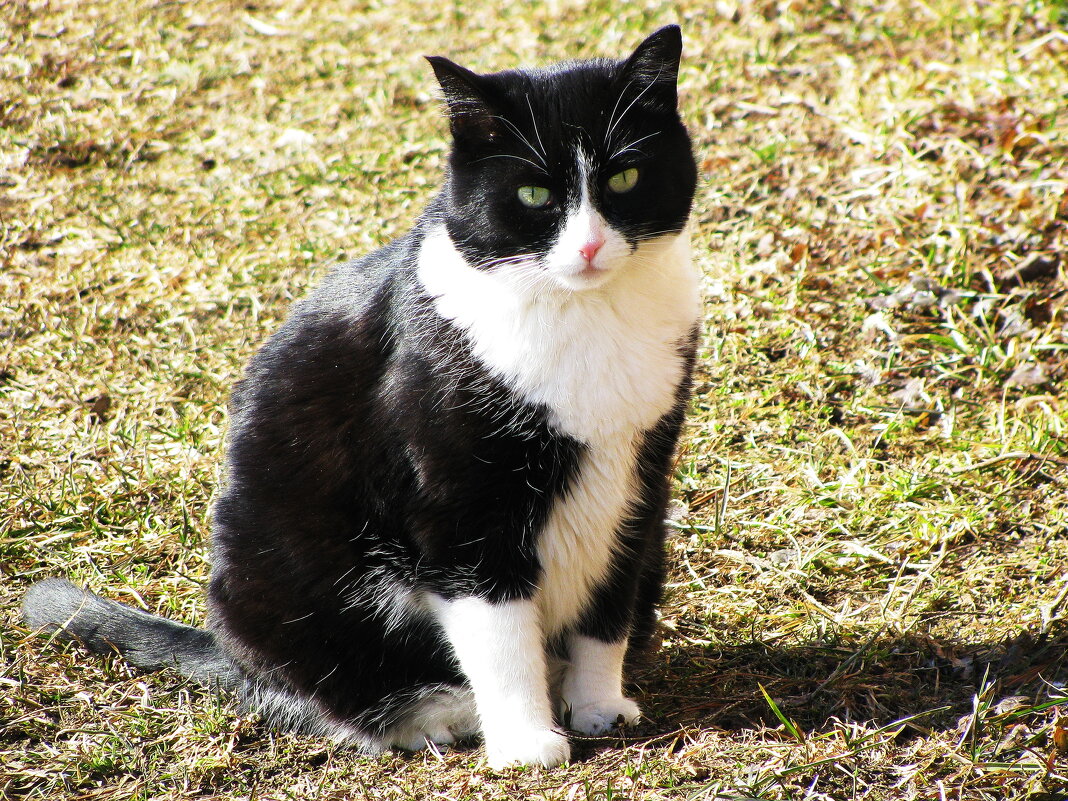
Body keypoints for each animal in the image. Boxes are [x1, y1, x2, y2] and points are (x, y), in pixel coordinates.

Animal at [22, 25, 700, 773]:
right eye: (531, 193)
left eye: (624, 178)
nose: (588, 247)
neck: (585, 313)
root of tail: (227, 648)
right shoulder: (458, 503)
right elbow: (499, 634)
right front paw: (525, 741)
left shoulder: (637, 478)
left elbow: (608, 606)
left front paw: (599, 704)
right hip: (278, 589)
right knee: (325, 688)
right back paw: (437, 711)